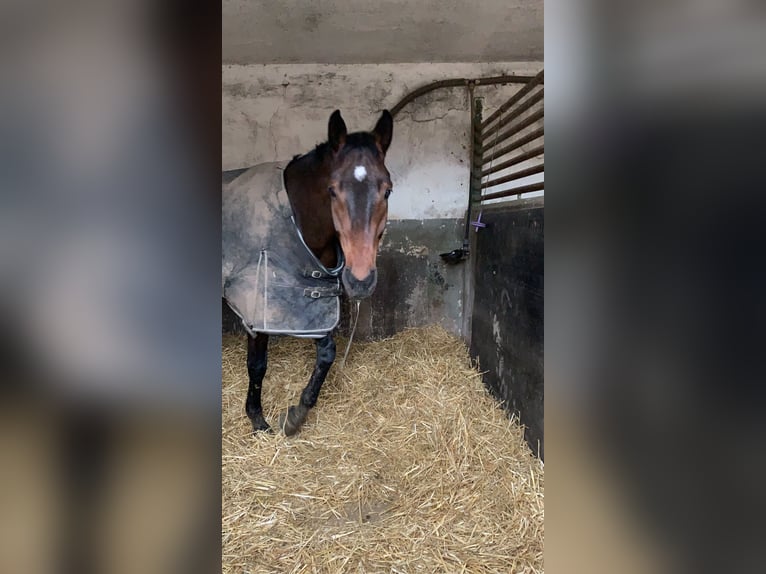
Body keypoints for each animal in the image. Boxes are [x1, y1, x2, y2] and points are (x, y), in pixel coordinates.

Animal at [222, 110, 394, 435]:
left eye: (388, 190)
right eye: (332, 189)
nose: (360, 280)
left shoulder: (311, 303)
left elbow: (327, 353)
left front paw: (296, 415)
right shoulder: (260, 305)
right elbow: (257, 365)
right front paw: (257, 419)